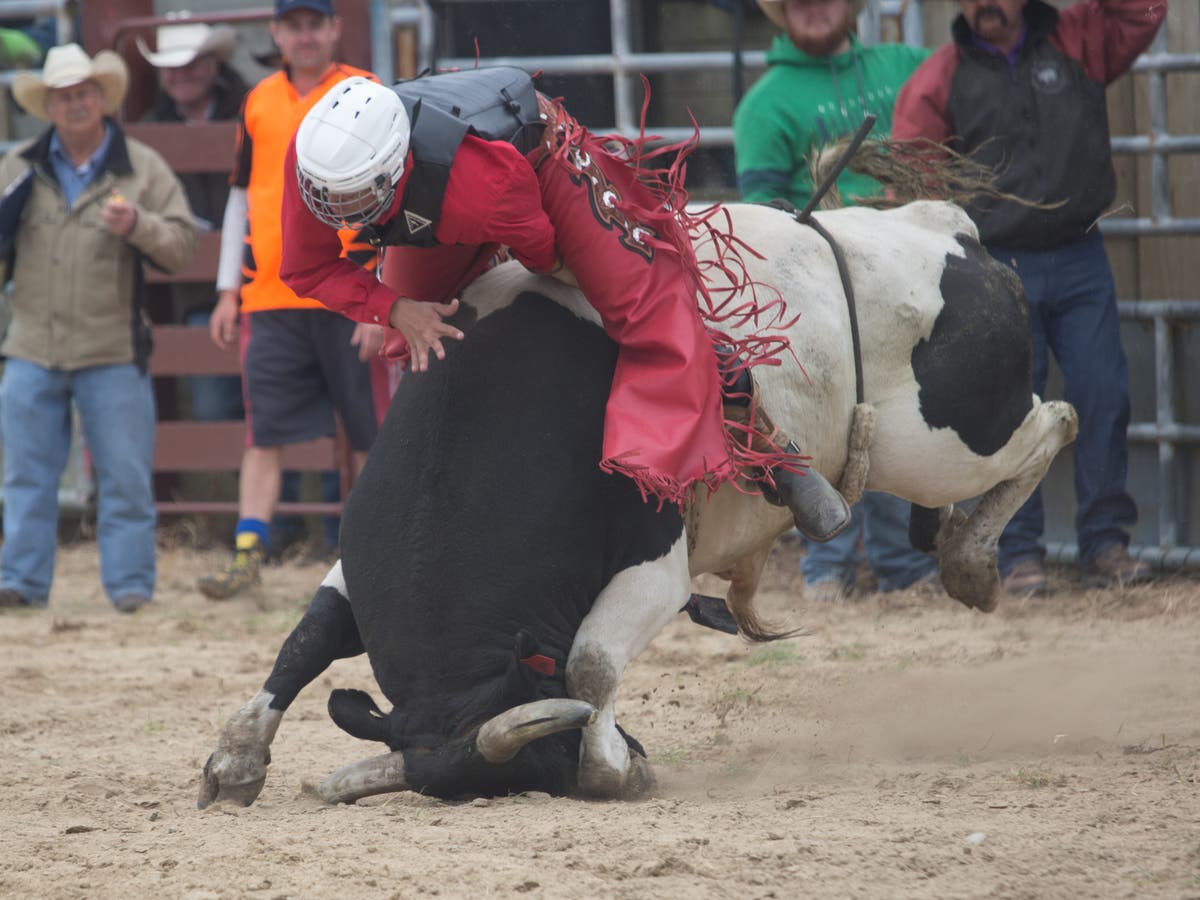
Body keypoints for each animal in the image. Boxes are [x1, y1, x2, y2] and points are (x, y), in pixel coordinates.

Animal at [196, 200, 1080, 806]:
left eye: (547, 762)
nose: (634, 751)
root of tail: (949, 232)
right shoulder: (353, 564)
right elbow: (306, 640)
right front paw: (235, 759)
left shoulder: (655, 569)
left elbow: (589, 663)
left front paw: (614, 769)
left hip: (946, 443)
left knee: (1054, 422)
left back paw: (971, 561)